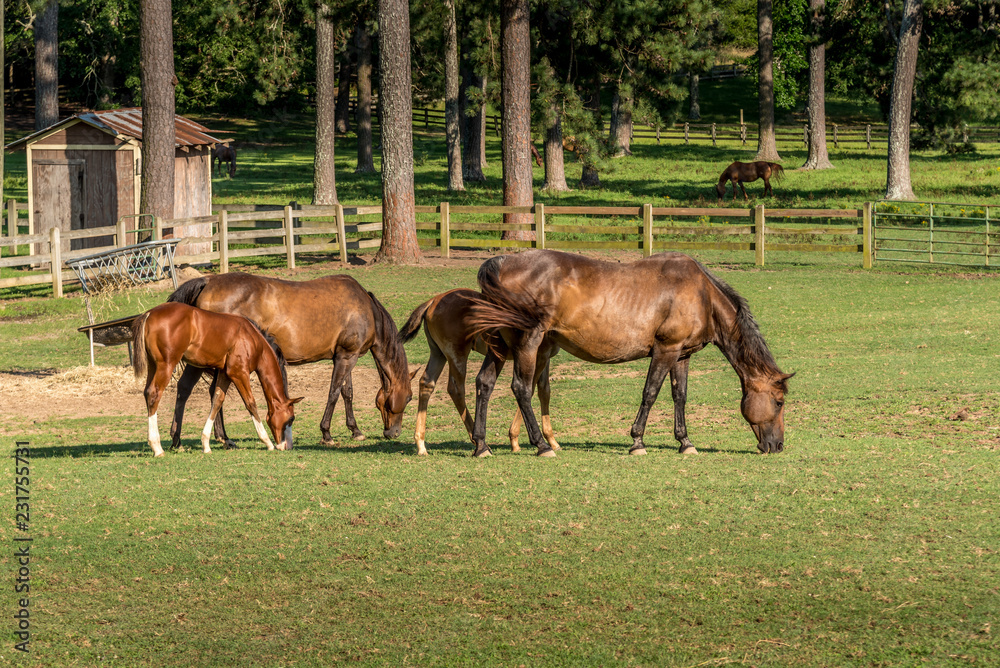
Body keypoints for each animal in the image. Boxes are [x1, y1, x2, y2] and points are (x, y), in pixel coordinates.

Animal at [131, 302, 303, 457]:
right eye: (291, 418)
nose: (287, 446)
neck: (252, 339)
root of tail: (149, 314)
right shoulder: (239, 373)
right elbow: (250, 403)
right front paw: (267, 442)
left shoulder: (224, 373)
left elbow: (217, 400)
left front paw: (206, 444)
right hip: (166, 365)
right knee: (154, 394)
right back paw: (157, 447)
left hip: (153, 365)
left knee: (148, 392)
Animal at [167, 273, 413, 449]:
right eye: (410, 398)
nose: (394, 433)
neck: (366, 308)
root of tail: (207, 281)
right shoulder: (346, 357)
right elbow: (334, 393)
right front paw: (326, 433)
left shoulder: (345, 356)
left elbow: (347, 393)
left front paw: (355, 430)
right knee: (211, 392)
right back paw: (220, 438)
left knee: (188, 389)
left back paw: (188, 438)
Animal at [398, 288, 560, 456]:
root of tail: (432, 301)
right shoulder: (540, 355)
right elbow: (531, 389)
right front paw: (520, 440)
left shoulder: (545, 357)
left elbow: (544, 391)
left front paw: (551, 440)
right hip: (457, 355)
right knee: (456, 389)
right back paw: (480, 444)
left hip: (438, 354)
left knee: (426, 383)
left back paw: (421, 444)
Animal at [466, 249, 792, 457]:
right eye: (778, 402)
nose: (777, 446)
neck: (701, 295)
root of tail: (502, 262)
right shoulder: (665, 350)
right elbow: (650, 393)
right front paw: (637, 442)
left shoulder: (682, 355)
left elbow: (679, 396)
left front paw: (685, 442)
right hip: (528, 343)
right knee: (521, 388)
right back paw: (542, 446)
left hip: (501, 345)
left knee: (484, 383)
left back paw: (481, 446)